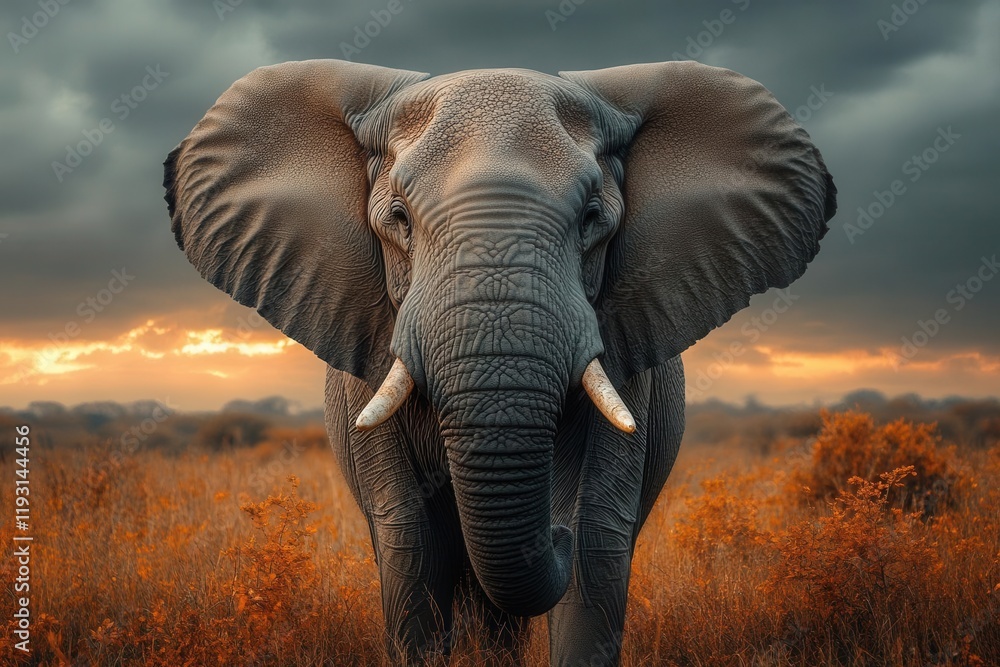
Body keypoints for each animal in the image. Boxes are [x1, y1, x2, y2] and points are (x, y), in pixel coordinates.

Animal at [163, 59, 836, 665]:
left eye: (593, 218)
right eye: (399, 220)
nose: (550, 529)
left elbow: (596, 546)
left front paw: (573, 527)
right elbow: (411, 545)